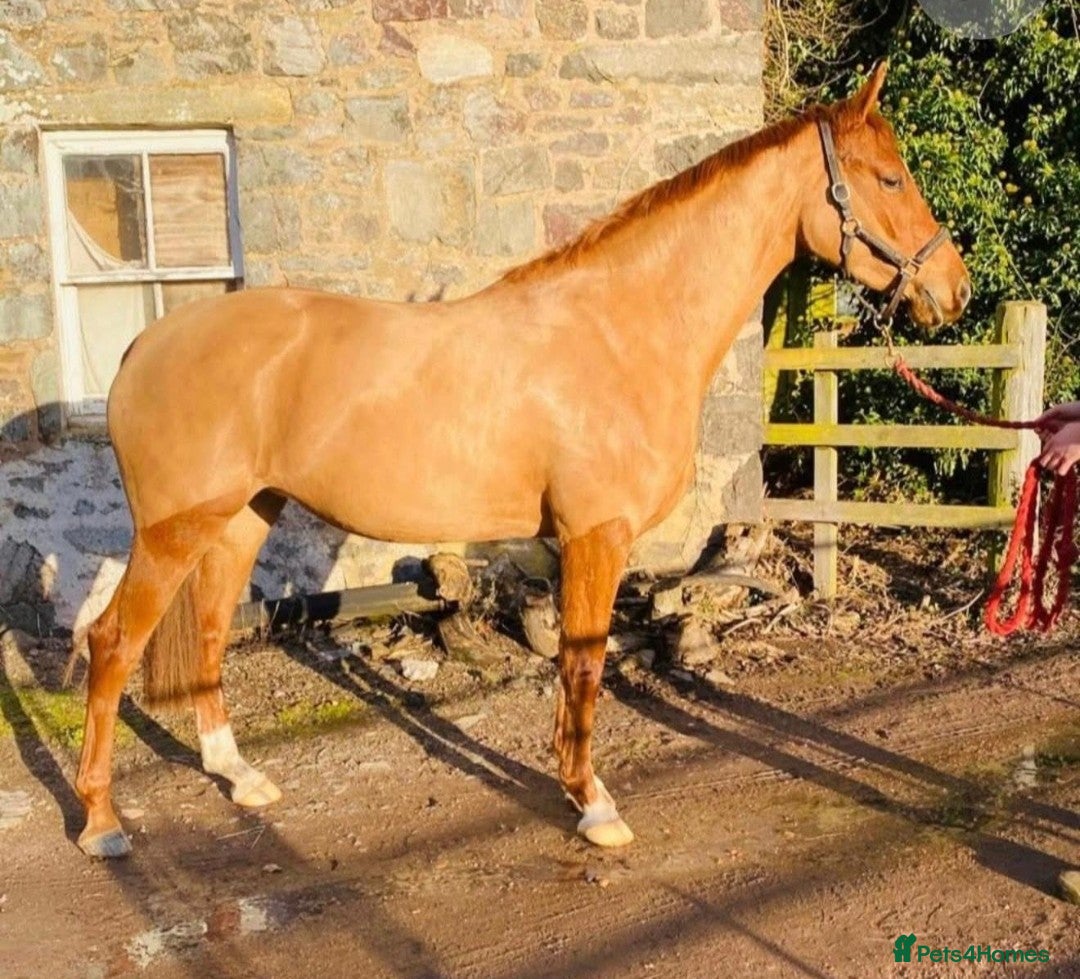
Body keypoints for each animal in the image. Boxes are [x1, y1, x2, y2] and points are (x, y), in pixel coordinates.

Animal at [74, 62, 970, 858]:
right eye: (890, 179)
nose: (954, 290)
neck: (622, 328)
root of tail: (142, 347)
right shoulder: (595, 537)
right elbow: (585, 663)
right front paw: (593, 804)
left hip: (241, 518)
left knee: (210, 631)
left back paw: (239, 776)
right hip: (175, 530)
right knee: (112, 641)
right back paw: (101, 821)